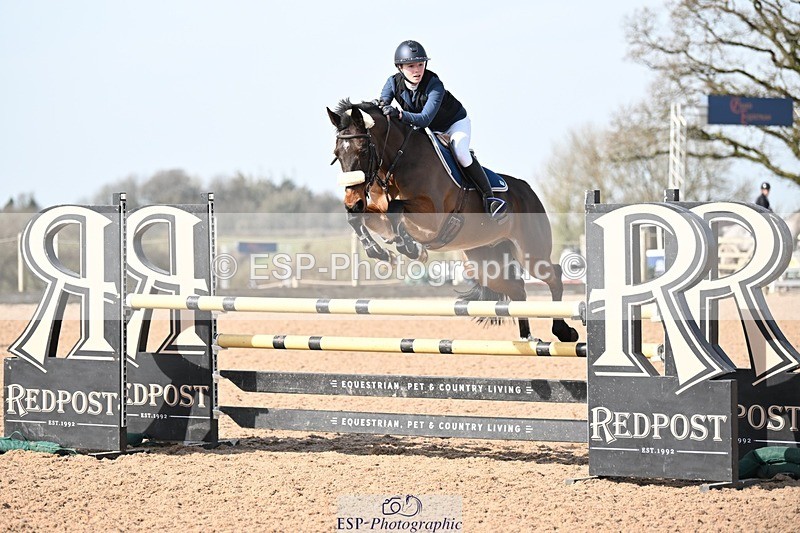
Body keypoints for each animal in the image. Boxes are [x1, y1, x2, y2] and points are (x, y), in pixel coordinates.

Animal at [326, 99, 578, 342]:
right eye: (337, 154)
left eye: (362, 150)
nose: (353, 200)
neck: (398, 160)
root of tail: (528, 191)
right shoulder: (377, 210)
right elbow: (358, 218)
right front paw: (383, 253)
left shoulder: (433, 218)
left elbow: (396, 209)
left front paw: (411, 249)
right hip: (486, 264)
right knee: (518, 289)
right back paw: (527, 336)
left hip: (531, 253)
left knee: (554, 275)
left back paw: (563, 331)